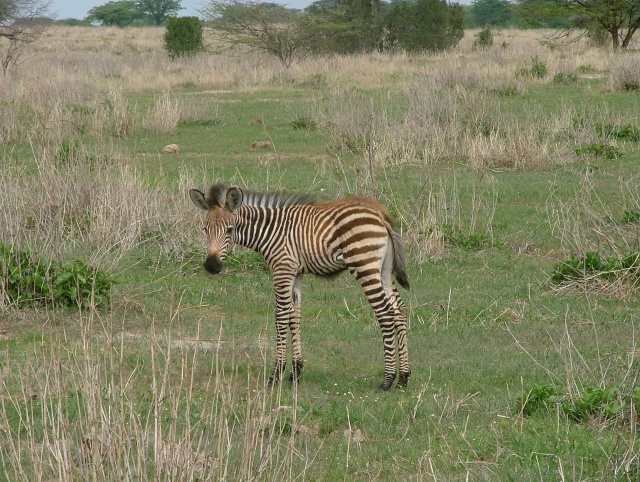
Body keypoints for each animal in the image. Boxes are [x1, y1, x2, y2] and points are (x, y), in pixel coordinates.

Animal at [189, 183, 411, 390]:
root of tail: (380, 214)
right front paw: (295, 372)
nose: (211, 266)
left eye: (230, 230)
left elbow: (280, 316)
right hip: (384, 270)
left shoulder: (282, 270)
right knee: (398, 309)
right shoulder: (296, 274)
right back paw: (403, 378)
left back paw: (387, 380)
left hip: (365, 266)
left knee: (384, 313)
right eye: (205, 230)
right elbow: (294, 316)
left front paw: (276, 375)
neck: (270, 231)